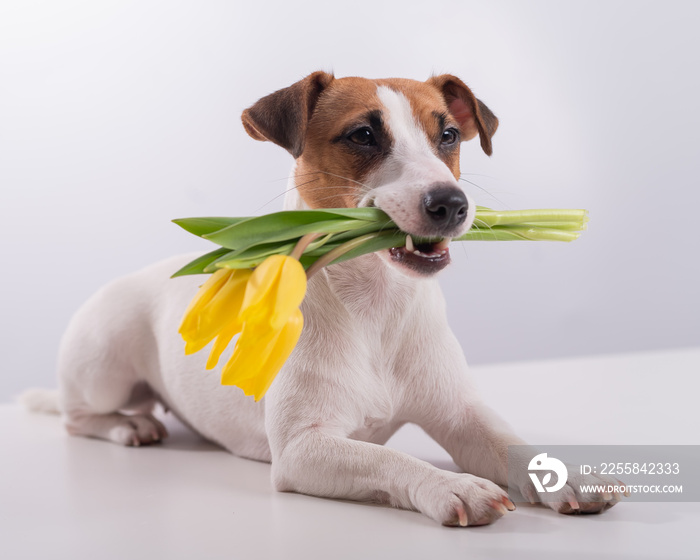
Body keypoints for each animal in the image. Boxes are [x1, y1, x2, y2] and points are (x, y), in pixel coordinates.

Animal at [43, 71, 616, 524]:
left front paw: (561, 474)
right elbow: (390, 460)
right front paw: (451, 484)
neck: (375, 306)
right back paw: (127, 426)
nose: (451, 203)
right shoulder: (303, 449)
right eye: (363, 135)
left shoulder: (461, 417)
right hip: (104, 371)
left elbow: (510, 443)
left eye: (449, 135)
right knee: (77, 417)